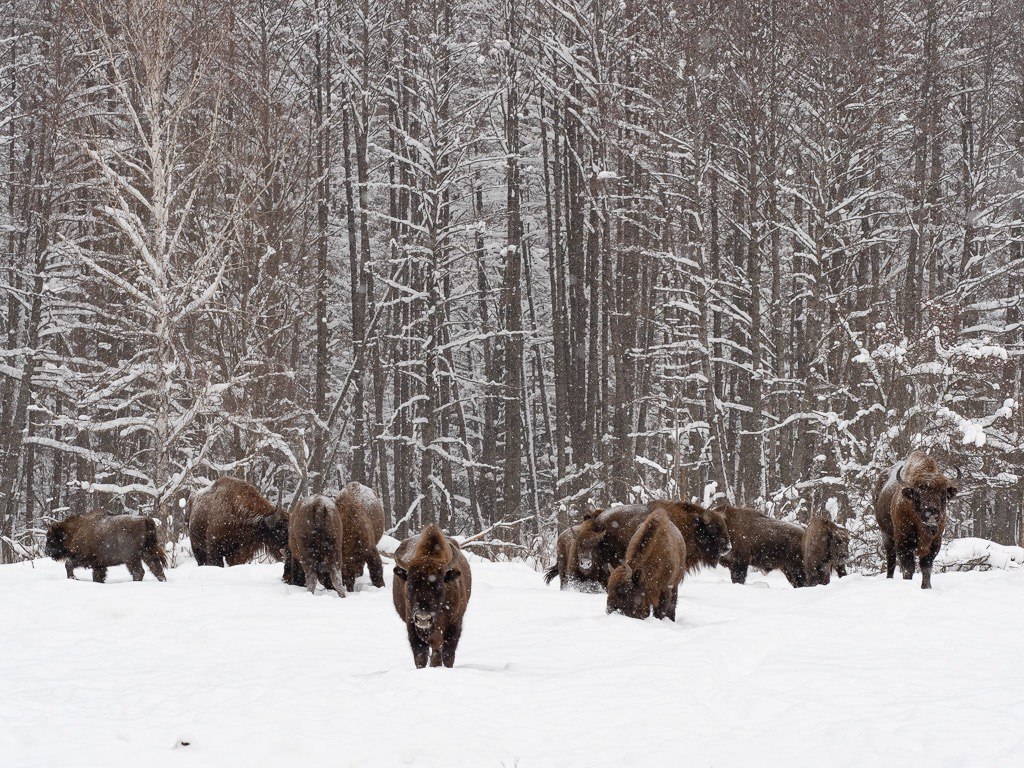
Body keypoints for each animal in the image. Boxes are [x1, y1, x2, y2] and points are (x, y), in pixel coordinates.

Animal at [391, 528, 471, 671]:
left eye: (439, 585)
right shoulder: (411, 625)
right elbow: (420, 656)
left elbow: (447, 654)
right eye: (410, 585)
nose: (423, 618)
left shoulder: (455, 623)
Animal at [872, 450, 958, 589]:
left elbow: (926, 567)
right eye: (918, 494)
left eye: (943, 494)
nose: (931, 514)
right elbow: (908, 567)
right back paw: (889, 578)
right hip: (886, 534)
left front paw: (926, 587)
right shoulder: (903, 542)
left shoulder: (935, 542)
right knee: (891, 559)